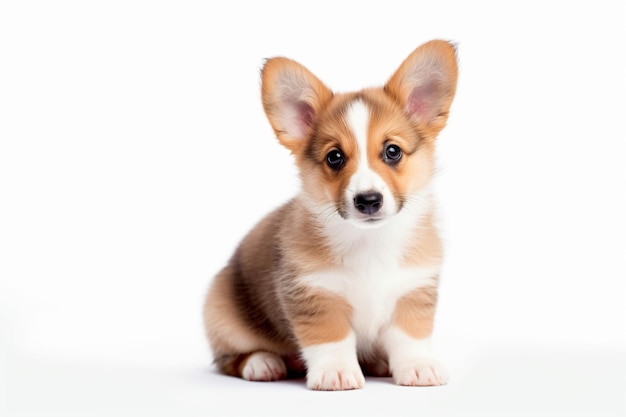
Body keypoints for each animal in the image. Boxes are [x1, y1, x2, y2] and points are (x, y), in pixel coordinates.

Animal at [202, 39, 456, 390]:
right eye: (334, 157)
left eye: (392, 151)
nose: (368, 200)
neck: (370, 241)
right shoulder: (314, 295)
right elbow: (331, 339)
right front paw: (336, 372)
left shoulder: (413, 289)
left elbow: (410, 336)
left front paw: (418, 367)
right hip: (221, 314)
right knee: (229, 358)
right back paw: (263, 363)